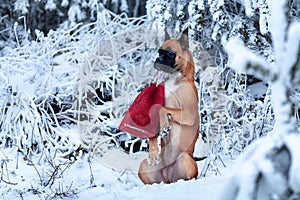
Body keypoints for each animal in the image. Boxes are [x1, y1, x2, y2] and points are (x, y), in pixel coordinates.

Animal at [138, 28, 199, 184]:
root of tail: (168, 178)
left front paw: (165, 125)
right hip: (144, 166)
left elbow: (162, 109)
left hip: (185, 159)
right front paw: (153, 152)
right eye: (159, 52)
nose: (157, 60)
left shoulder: (189, 114)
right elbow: (156, 110)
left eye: (171, 53)